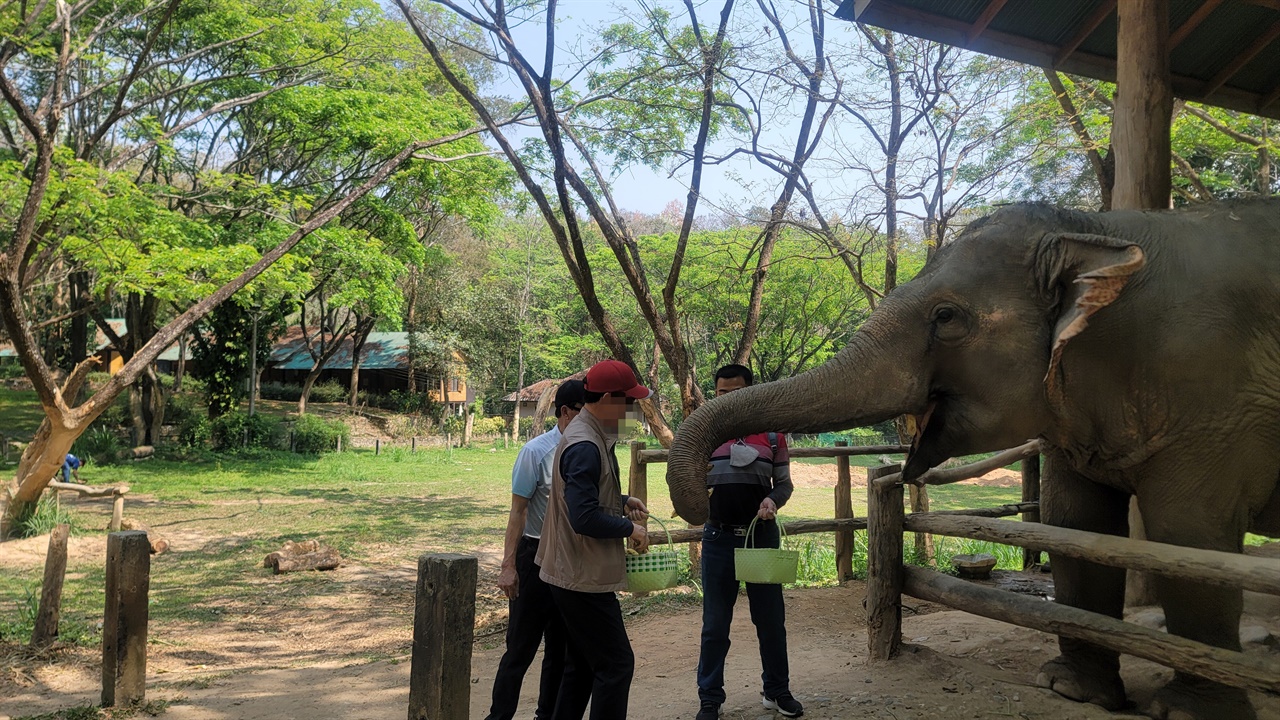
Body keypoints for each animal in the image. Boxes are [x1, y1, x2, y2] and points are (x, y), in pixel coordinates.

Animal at [670, 197, 1280, 717]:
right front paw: (1070, 690)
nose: (705, 505)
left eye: (946, 317)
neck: (1094, 229)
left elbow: (1189, 539)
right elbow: (1075, 525)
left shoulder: (1214, 400)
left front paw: (1187, 713)